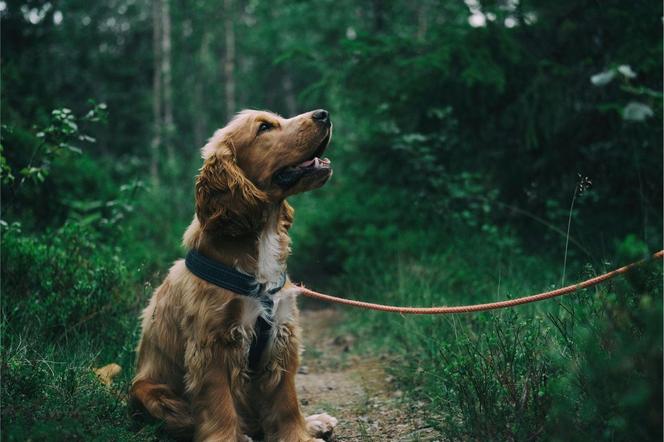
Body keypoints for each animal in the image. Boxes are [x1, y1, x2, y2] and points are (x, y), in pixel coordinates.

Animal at [129, 109, 338, 440]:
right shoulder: (213, 345)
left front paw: (299, 434)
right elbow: (220, 407)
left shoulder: (282, 335)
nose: (323, 114)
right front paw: (229, 437)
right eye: (264, 127)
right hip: (151, 393)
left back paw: (315, 421)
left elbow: (286, 402)